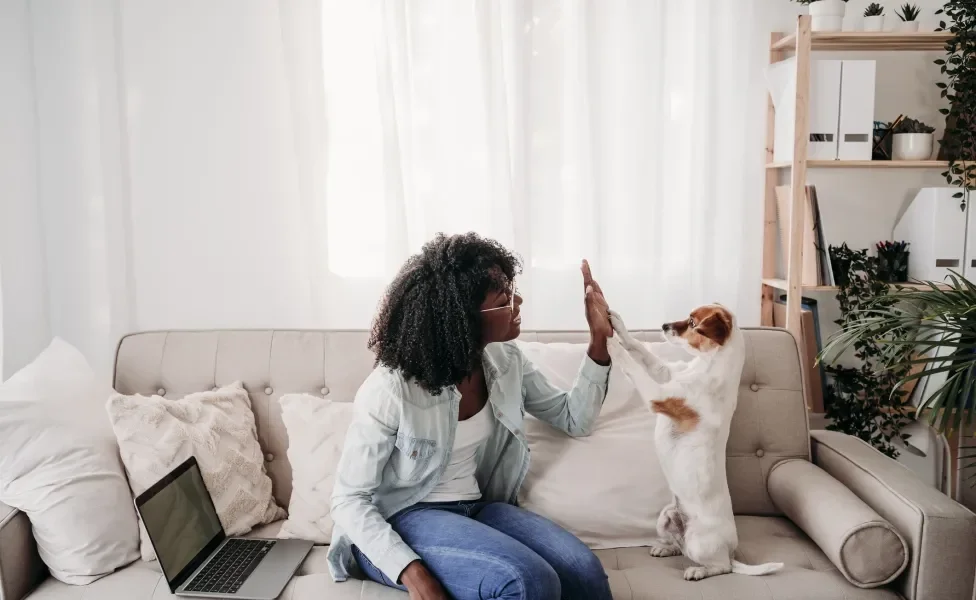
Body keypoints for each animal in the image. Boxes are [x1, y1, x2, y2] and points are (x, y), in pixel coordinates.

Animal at [608, 304, 784, 580]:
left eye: (692, 323)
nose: (664, 326)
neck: (706, 366)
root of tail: (731, 552)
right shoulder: (667, 372)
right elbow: (641, 351)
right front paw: (618, 326)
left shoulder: (659, 395)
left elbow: (633, 367)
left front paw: (611, 345)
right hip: (665, 517)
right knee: (679, 546)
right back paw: (665, 548)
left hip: (700, 542)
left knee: (720, 567)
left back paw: (697, 571)